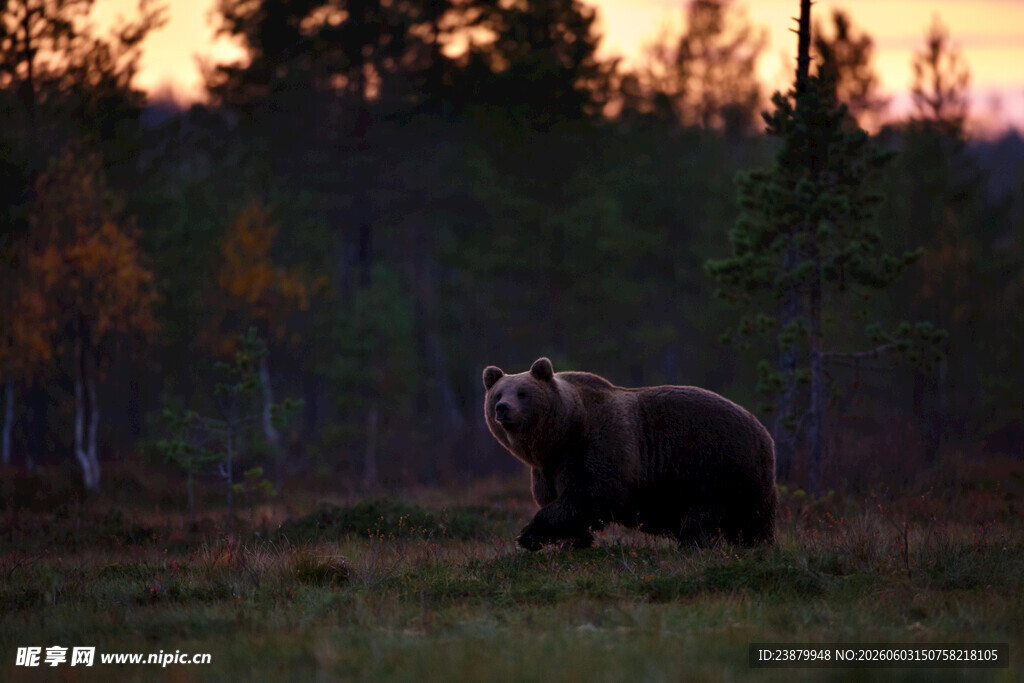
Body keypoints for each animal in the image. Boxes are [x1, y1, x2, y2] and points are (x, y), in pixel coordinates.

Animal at [482, 357, 777, 550]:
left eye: (522, 392)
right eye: (498, 392)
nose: (502, 408)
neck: (562, 434)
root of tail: (764, 432)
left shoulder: (598, 445)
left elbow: (590, 495)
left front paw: (528, 535)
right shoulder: (548, 467)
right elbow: (555, 499)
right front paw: (572, 540)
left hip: (714, 465)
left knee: (708, 516)